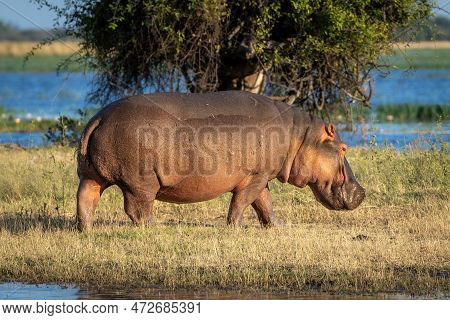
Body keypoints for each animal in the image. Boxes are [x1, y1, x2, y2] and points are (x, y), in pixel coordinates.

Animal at [76, 90, 366, 230]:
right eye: (343, 148)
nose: (362, 191)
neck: (301, 136)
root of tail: (99, 118)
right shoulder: (254, 177)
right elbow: (243, 202)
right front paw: (236, 227)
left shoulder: (261, 177)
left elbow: (265, 204)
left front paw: (279, 226)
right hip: (141, 182)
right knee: (138, 209)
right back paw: (154, 228)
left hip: (91, 175)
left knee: (85, 200)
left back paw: (85, 230)